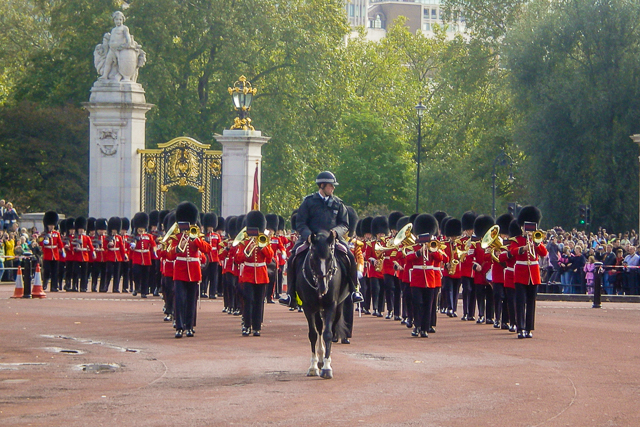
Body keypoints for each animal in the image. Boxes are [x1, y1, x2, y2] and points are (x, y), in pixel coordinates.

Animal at [296, 232, 350, 380]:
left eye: (330, 258)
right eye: (313, 258)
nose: (323, 288)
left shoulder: (331, 305)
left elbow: (328, 334)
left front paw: (327, 367)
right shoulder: (308, 307)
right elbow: (313, 334)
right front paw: (313, 366)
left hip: (337, 307)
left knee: (330, 328)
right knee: (319, 327)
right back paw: (319, 359)